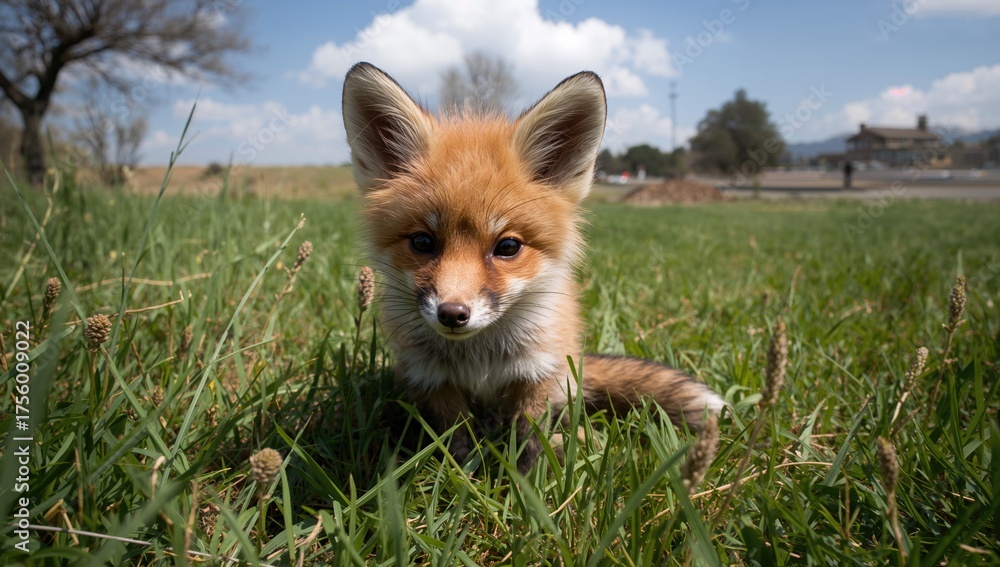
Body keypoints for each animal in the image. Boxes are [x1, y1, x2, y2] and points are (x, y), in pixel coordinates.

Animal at [342, 62, 723, 473]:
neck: (480, 358)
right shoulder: (434, 381)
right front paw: (464, 475)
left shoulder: (537, 373)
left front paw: (527, 480)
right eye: (422, 242)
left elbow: (529, 438)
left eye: (507, 247)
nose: (453, 314)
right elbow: (457, 442)